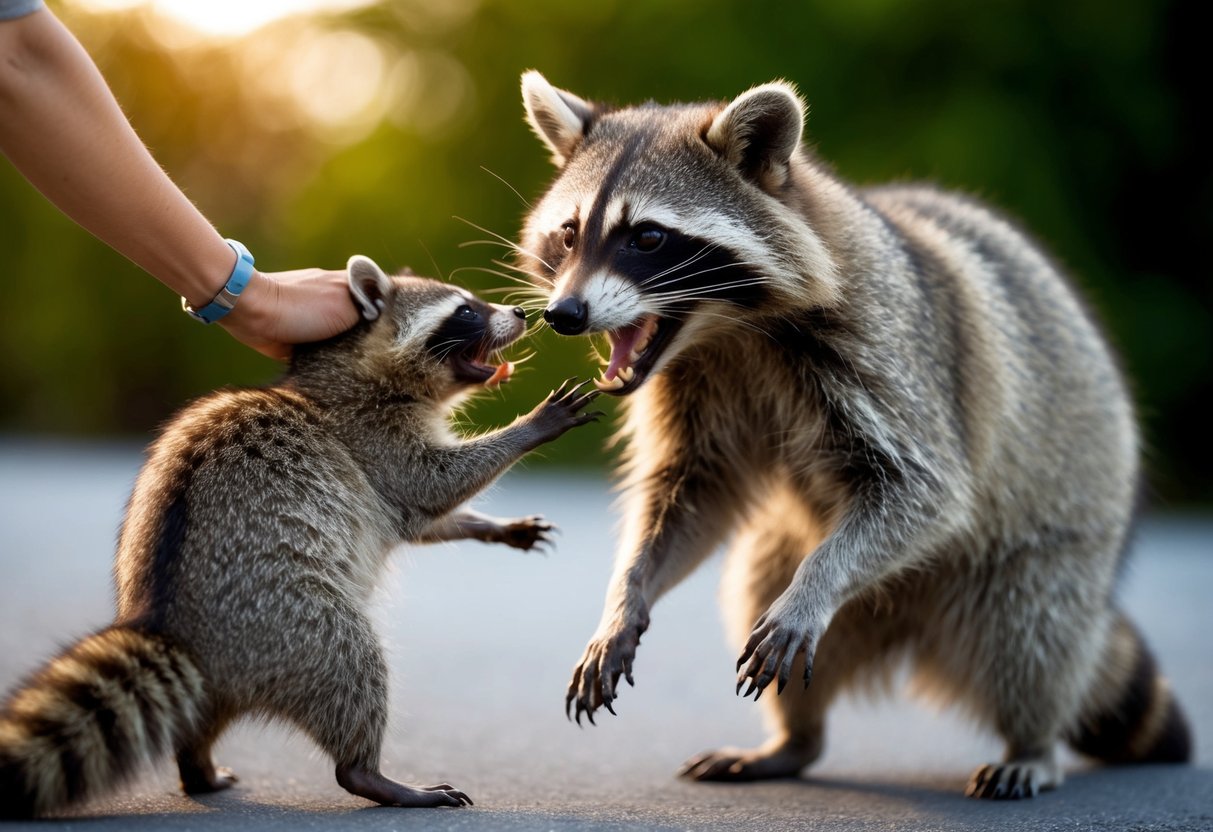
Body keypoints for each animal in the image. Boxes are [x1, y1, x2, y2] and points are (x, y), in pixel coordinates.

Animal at [0, 255, 599, 818]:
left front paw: (490, 526)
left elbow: (425, 517)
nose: (520, 313)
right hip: (292, 619)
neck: (354, 370)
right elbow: (431, 485)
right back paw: (370, 774)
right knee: (354, 664)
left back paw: (197, 763)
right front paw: (528, 428)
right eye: (466, 311)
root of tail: (171, 623)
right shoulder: (372, 441)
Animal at [517, 72, 1191, 799]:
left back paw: (1032, 742)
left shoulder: (886, 351)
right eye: (568, 233)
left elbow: (924, 490)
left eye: (646, 237)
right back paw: (793, 739)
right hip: (794, 558)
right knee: (756, 589)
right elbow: (686, 496)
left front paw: (816, 584)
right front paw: (626, 595)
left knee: (1030, 637)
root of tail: (907, 624)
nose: (563, 314)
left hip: (1050, 545)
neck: (724, 327)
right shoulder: (696, 390)